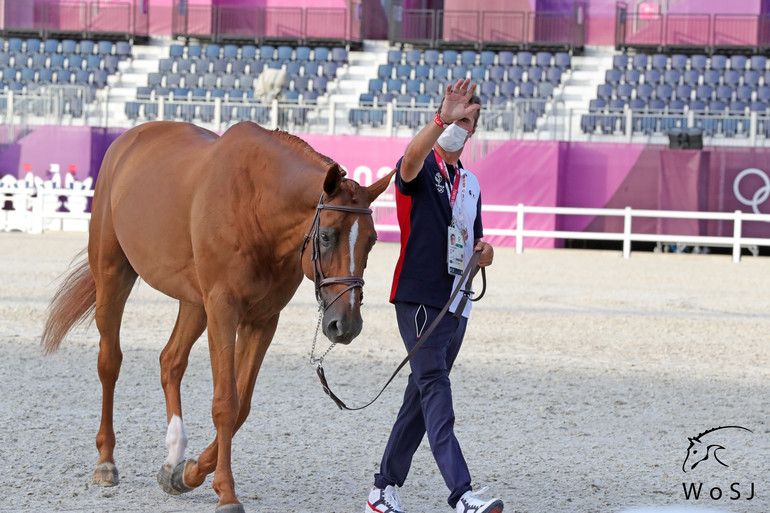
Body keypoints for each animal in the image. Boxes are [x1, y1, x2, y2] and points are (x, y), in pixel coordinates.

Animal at [39, 121, 392, 512]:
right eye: (327, 237)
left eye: (372, 242)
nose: (346, 325)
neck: (255, 206)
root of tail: (128, 139)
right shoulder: (223, 310)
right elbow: (226, 402)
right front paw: (226, 492)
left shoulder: (262, 320)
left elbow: (242, 406)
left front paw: (187, 474)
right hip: (113, 275)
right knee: (110, 362)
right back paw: (106, 461)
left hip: (194, 303)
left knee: (170, 361)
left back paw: (174, 454)